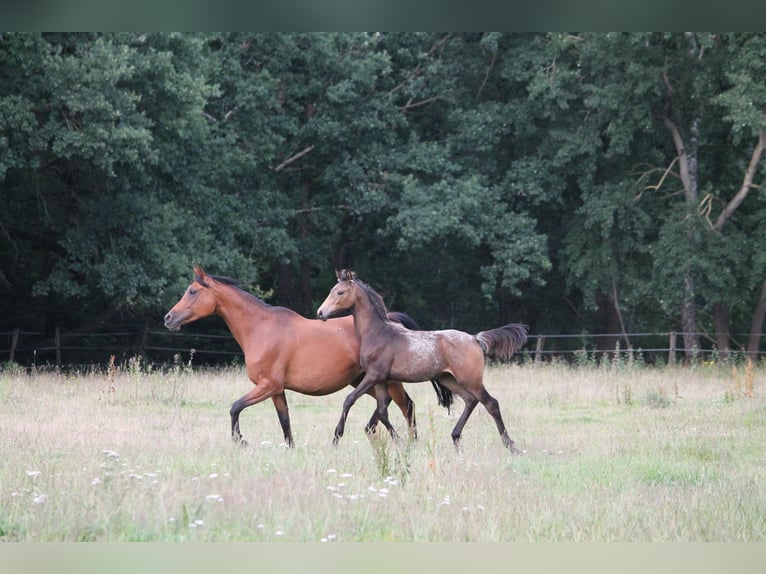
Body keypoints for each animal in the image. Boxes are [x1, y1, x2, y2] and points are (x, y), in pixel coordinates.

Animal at [162, 266, 450, 450]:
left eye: (192, 291)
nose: (168, 318)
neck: (261, 328)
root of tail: (392, 320)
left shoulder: (267, 385)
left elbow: (235, 407)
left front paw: (240, 441)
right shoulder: (277, 390)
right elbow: (285, 421)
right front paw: (290, 448)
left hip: (385, 380)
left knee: (407, 406)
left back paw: (408, 442)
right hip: (363, 381)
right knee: (389, 404)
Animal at [318, 270, 528, 454]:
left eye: (340, 292)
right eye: (331, 290)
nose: (320, 313)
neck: (378, 334)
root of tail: (475, 338)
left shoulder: (373, 376)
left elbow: (349, 400)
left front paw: (336, 438)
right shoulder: (382, 380)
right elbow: (383, 411)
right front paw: (402, 442)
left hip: (471, 380)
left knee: (491, 403)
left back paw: (511, 447)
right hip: (447, 379)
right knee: (470, 400)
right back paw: (456, 438)